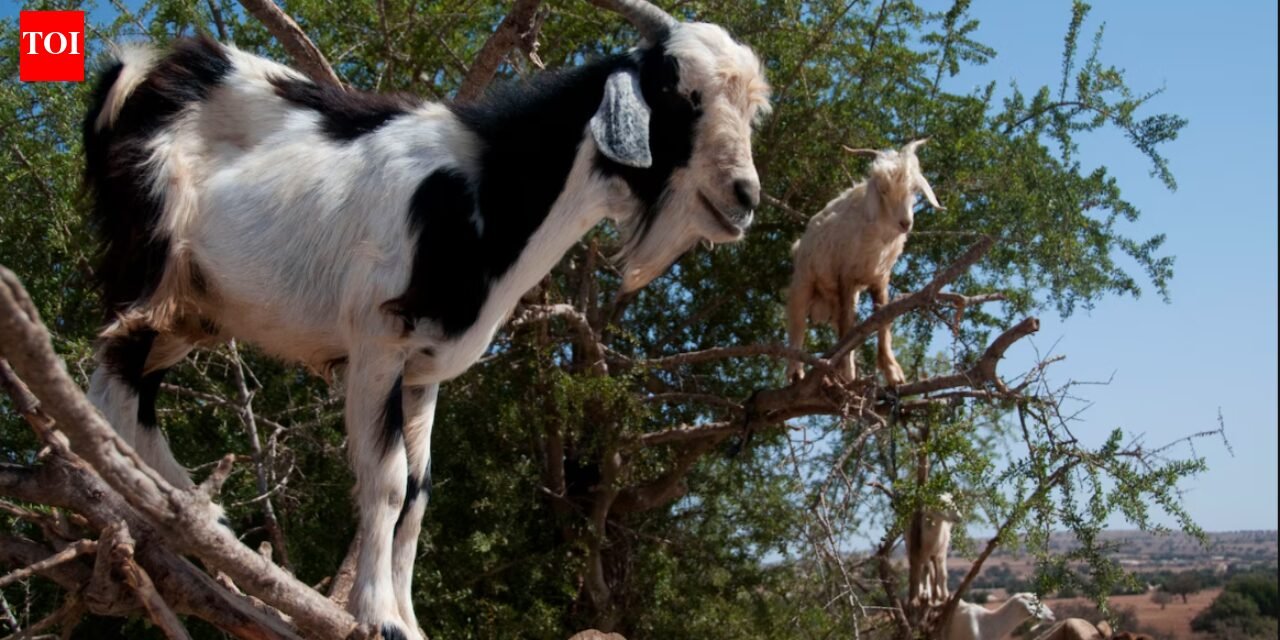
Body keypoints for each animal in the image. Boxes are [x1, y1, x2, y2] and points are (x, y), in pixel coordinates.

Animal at [79, 1, 770, 637]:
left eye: (751, 109)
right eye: (680, 92)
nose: (744, 198)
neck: (487, 191)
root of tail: (140, 73)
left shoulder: (424, 369)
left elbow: (418, 494)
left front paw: (410, 621)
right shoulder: (379, 343)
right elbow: (385, 481)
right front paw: (378, 616)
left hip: (195, 310)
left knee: (125, 387)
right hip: (150, 266)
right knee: (112, 382)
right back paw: (173, 513)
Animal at [785, 139, 943, 384]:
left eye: (914, 190)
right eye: (883, 190)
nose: (905, 223)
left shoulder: (880, 278)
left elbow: (882, 319)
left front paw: (892, 372)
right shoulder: (845, 275)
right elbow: (848, 326)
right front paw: (848, 373)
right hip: (804, 279)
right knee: (798, 323)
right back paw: (796, 372)